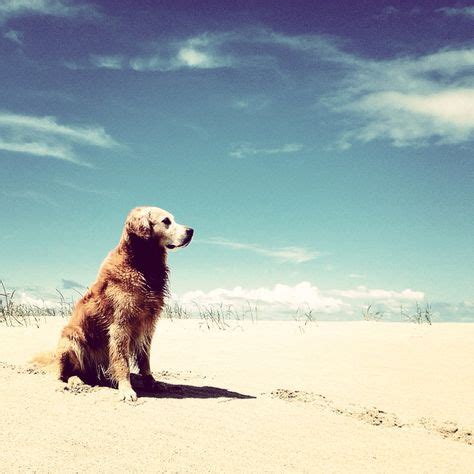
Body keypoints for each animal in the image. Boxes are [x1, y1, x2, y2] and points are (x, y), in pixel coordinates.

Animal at [54, 206, 193, 402]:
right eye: (166, 221)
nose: (191, 231)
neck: (142, 265)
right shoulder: (120, 325)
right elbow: (122, 362)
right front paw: (126, 389)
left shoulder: (148, 325)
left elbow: (145, 359)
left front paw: (151, 382)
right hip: (70, 340)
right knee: (61, 373)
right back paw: (69, 383)